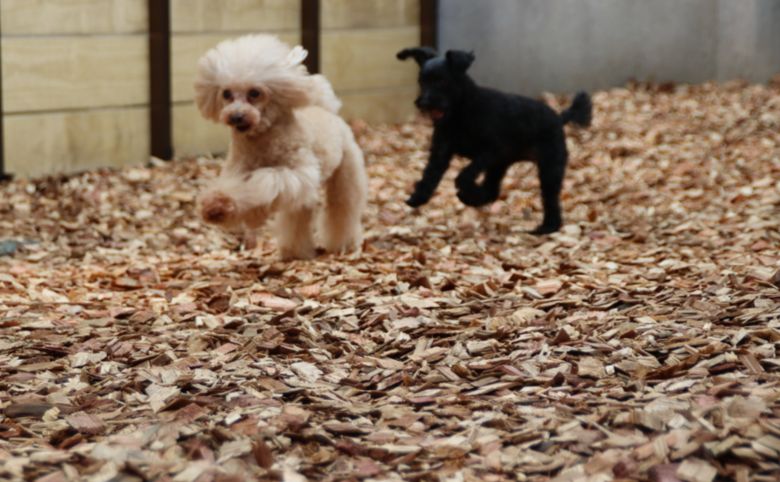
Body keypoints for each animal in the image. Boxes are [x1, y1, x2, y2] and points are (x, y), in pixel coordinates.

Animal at [396, 47, 592, 233]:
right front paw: (418, 197)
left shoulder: (491, 151)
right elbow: (430, 176)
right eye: (422, 82)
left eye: (442, 81)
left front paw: (465, 187)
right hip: (500, 166)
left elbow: (465, 174)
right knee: (493, 191)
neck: (461, 112)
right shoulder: (441, 152)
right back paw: (472, 198)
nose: (422, 102)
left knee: (550, 199)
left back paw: (546, 228)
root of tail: (559, 118)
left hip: (548, 168)